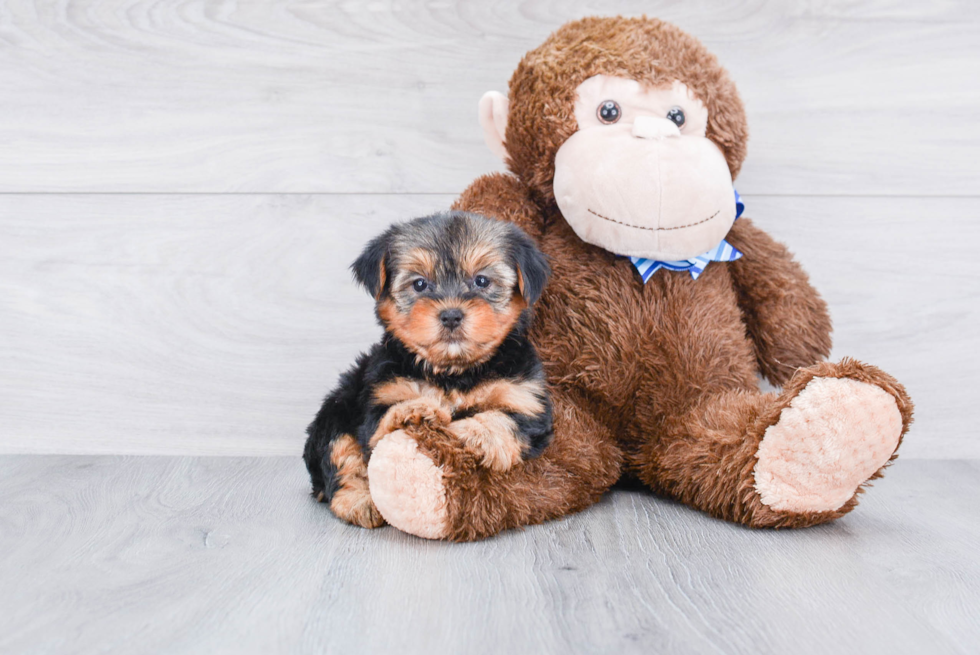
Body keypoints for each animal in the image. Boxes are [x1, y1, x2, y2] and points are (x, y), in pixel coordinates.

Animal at [302, 213, 552, 532]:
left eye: (482, 281)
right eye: (420, 284)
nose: (451, 315)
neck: (454, 371)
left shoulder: (525, 399)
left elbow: (505, 420)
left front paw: (469, 433)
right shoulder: (383, 392)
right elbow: (380, 420)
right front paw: (414, 411)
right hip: (335, 412)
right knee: (340, 455)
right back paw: (359, 501)